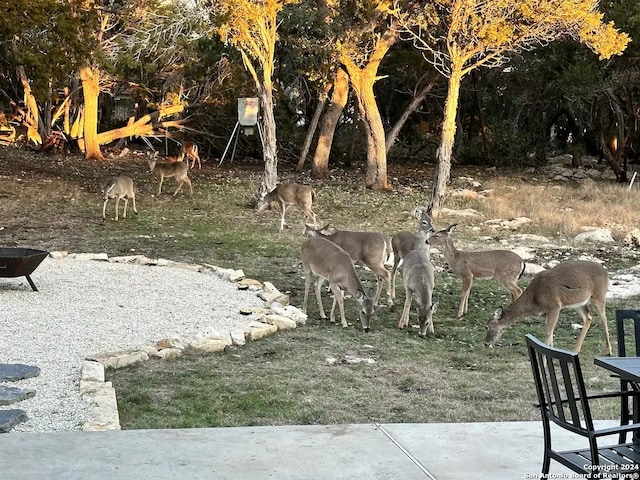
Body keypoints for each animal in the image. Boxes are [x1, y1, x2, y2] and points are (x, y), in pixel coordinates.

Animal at [484, 260, 616, 354]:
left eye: (487, 326)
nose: (485, 344)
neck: (534, 299)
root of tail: (606, 272)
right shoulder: (545, 312)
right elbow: (550, 332)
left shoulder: (554, 306)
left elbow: (548, 332)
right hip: (579, 303)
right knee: (588, 317)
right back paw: (576, 349)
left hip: (599, 296)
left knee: (604, 319)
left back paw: (609, 350)